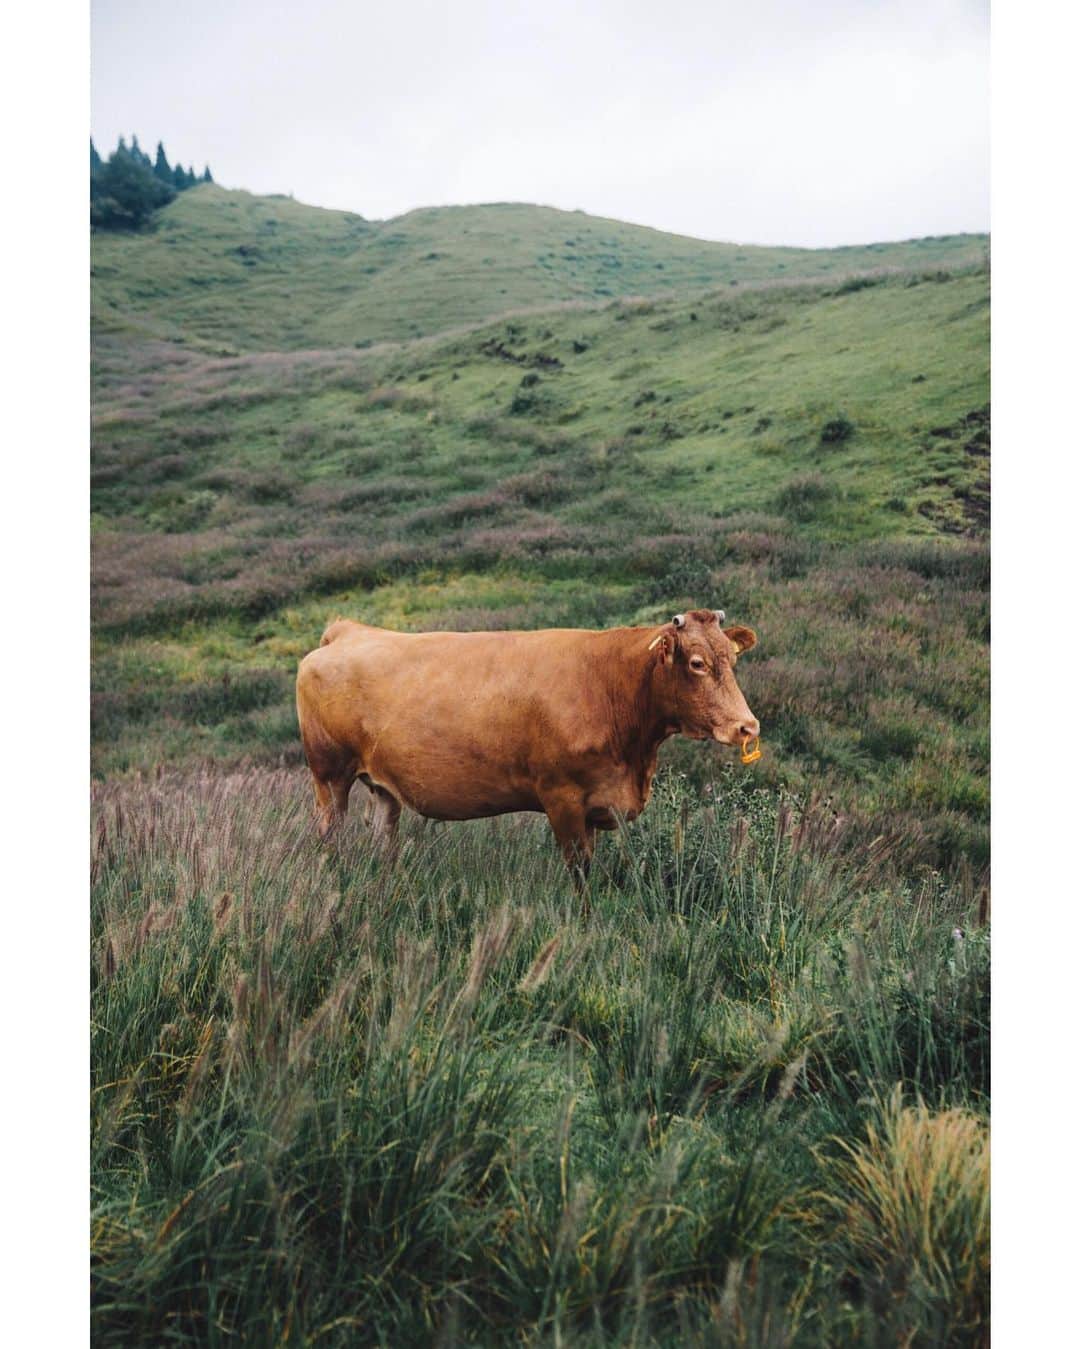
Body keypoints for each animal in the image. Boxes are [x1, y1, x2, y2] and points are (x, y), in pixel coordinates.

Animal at [295, 608, 759, 882]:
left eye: (733, 658)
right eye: (697, 664)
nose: (747, 727)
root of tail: (348, 631)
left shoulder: (596, 803)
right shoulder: (562, 797)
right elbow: (579, 874)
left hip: (382, 787)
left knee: (383, 838)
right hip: (329, 776)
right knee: (329, 836)